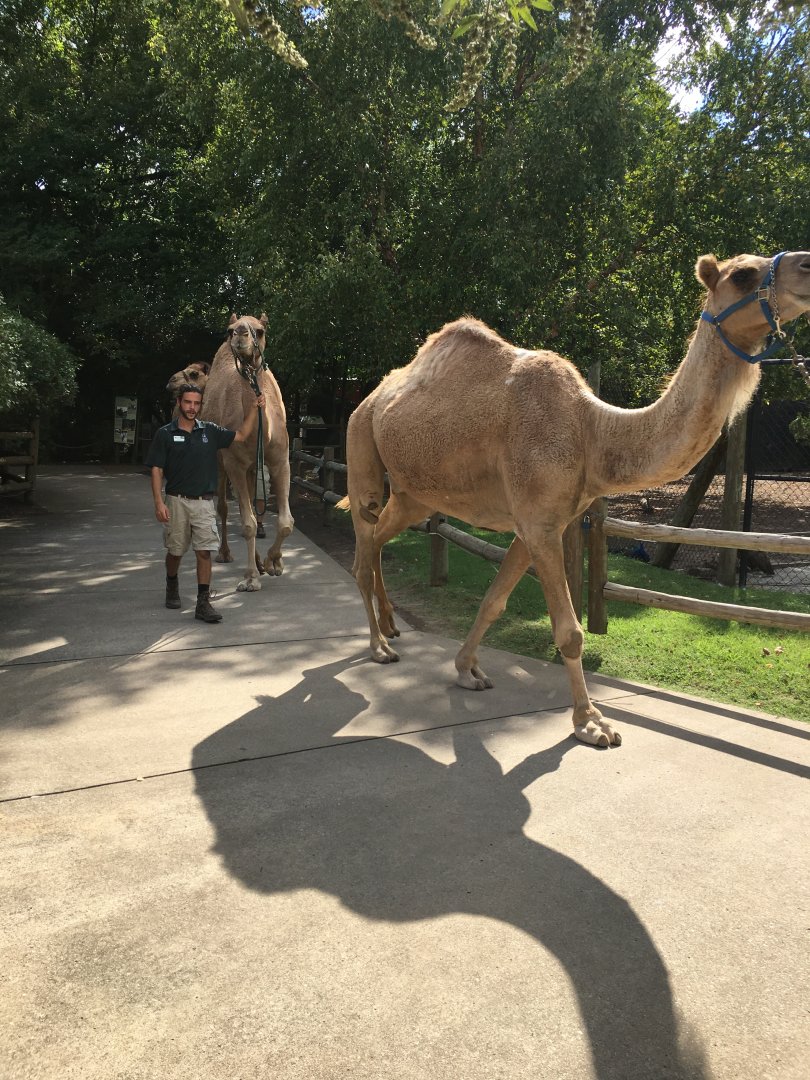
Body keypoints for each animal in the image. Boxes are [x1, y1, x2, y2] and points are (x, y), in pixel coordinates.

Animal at [200, 313, 294, 590]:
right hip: (220, 463)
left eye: (261, 331)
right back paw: (226, 554)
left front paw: (274, 563)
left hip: (255, 468)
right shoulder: (235, 464)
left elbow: (285, 522)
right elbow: (248, 523)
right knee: (225, 508)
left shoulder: (280, 461)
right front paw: (251, 578)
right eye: (230, 329)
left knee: (251, 506)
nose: (240, 334)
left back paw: (261, 562)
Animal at [340, 250, 810, 747]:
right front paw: (591, 722)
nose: (807, 266)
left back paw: (391, 627)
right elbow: (570, 632)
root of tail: (370, 397)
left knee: (378, 539)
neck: (593, 432)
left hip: (415, 493)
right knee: (363, 542)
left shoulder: (539, 523)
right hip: (361, 442)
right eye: (743, 275)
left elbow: (494, 601)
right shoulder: (540, 522)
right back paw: (379, 646)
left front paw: (468, 670)